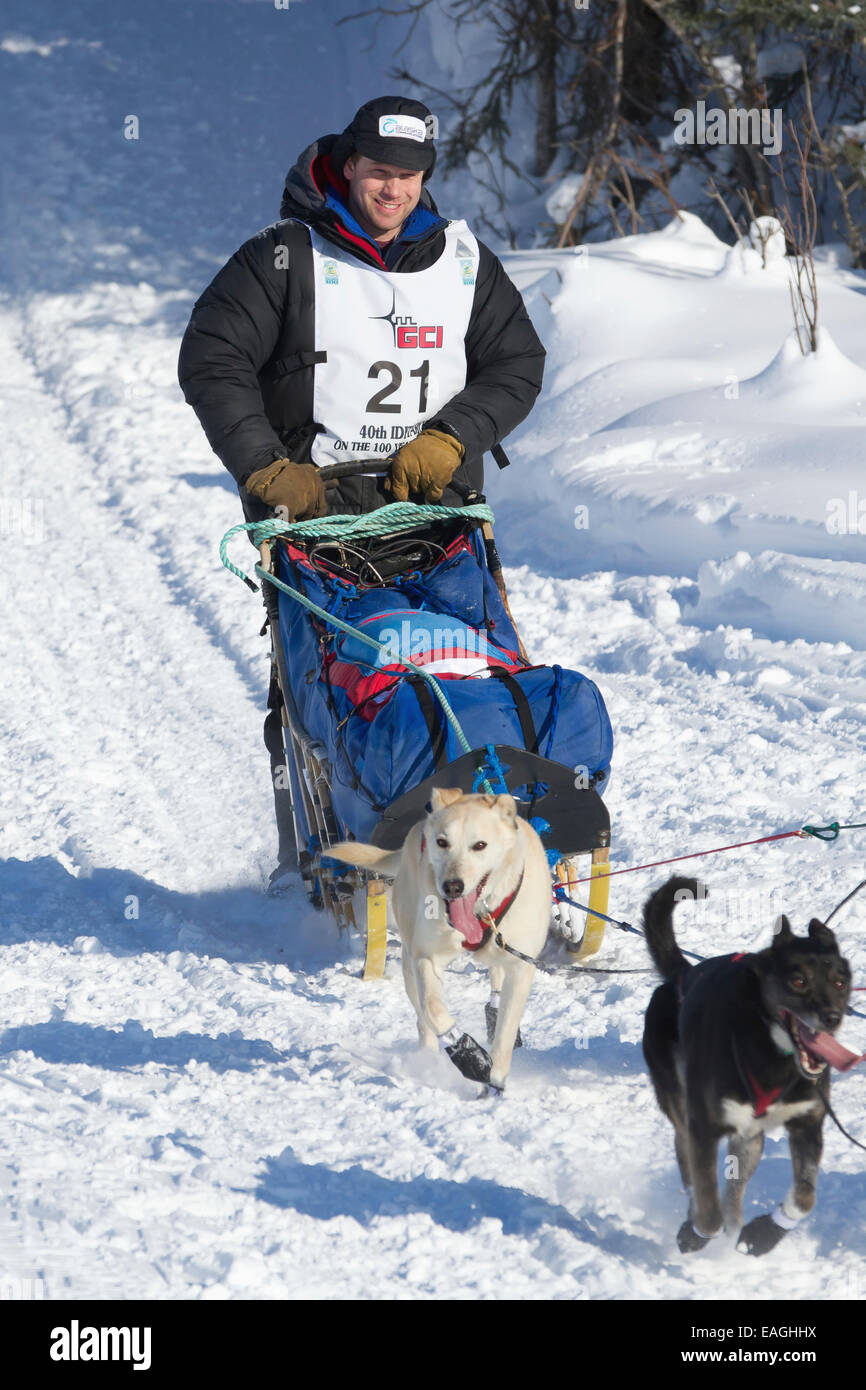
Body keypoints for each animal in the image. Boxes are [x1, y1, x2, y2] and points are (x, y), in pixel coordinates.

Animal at [328, 795, 553, 1095]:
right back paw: (427, 1057)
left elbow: (505, 1032)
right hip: (409, 961)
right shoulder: (427, 958)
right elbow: (433, 1010)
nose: (453, 886)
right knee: (422, 1017)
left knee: (495, 978)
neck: (480, 914)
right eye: (442, 842)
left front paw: (495, 1079)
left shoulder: (520, 965)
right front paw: (469, 1056)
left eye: (479, 845)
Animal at [639, 878, 856, 1262]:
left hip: (749, 1140)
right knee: (693, 1178)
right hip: (683, 1114)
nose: (832, 1017)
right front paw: (696, 1234)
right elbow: (708, 1211)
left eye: (840, 982)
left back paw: (735, 1230)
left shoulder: (807, 1123)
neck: (774, 1056)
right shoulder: (704, 1128)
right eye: (799, 981)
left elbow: (805, 1198)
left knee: (733, 1194)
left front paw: (764, 1234)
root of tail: (682, 976)